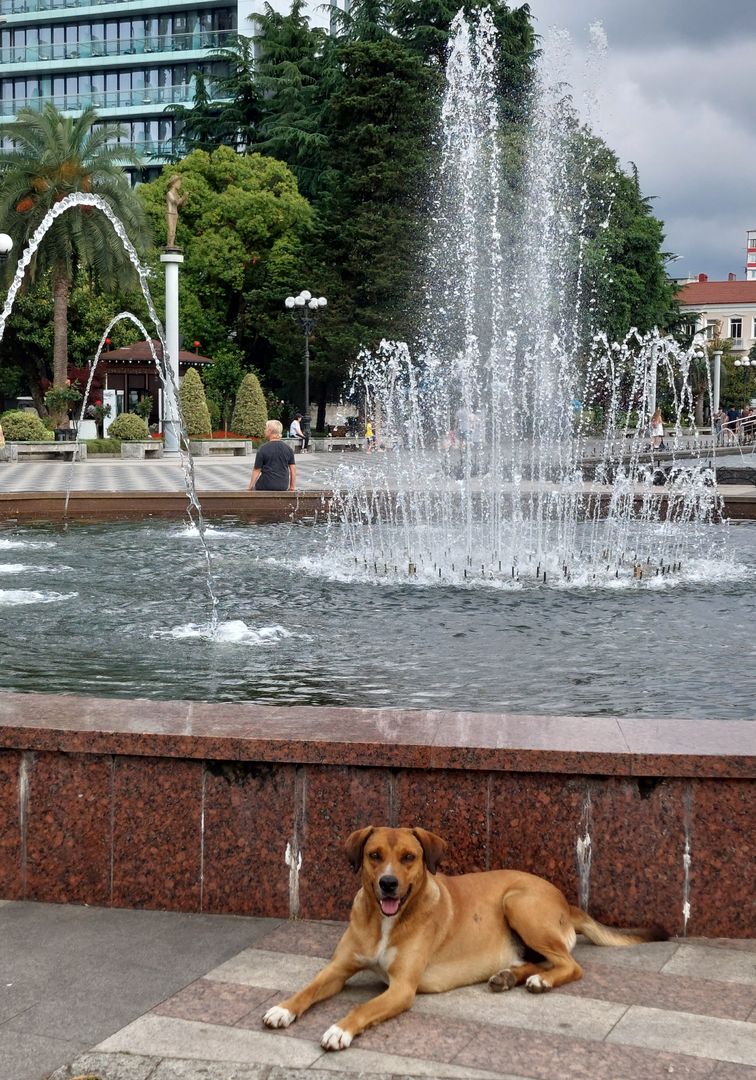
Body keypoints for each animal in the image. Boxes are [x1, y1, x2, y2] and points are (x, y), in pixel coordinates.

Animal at [262, 825, 665, 1045]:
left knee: (570, 964)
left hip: (518, 903)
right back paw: (508, 976)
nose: (388, 883)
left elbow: (362, 1007)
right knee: (538, 960)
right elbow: (308, 989)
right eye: (374, 855)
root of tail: (566, 901)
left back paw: (541, 981)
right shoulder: (337, 969)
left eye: (408, 857)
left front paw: (339, 1030)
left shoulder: (402, 988)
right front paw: (283, 1008)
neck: (385, 922)